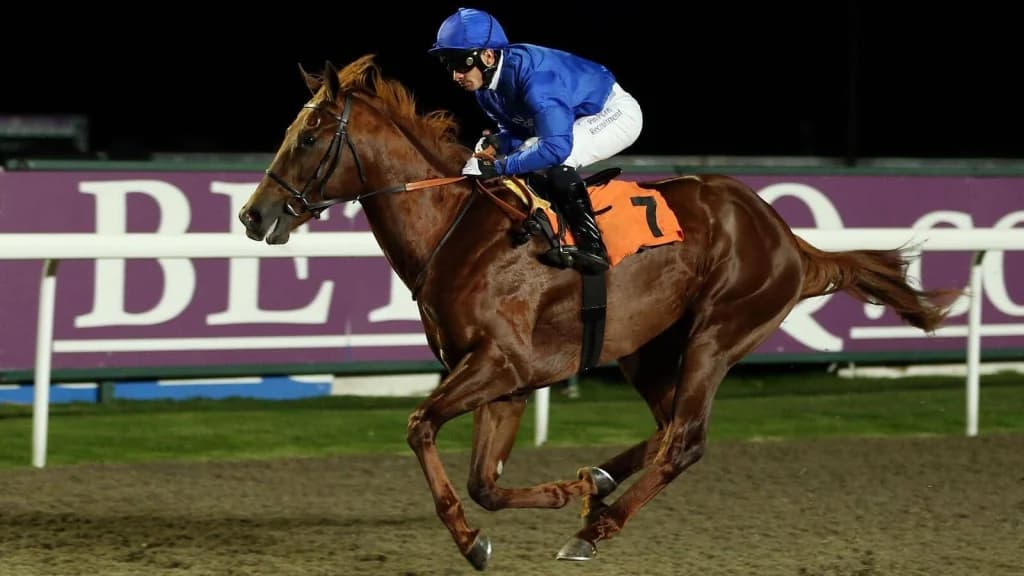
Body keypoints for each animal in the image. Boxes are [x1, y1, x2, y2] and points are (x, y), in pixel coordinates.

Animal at [238, 55, 959, 571]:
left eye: (309, 137)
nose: (252, 215)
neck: (457, 229)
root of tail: (788, 238)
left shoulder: (499, 364)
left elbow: (421, 429)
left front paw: (474, 539)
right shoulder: (506, 381)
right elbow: (485, 482)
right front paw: (565, 490)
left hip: (718, 332)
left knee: (686, 439)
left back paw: (599, 526)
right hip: (645, 346)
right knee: (668, 428)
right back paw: (599, 485)